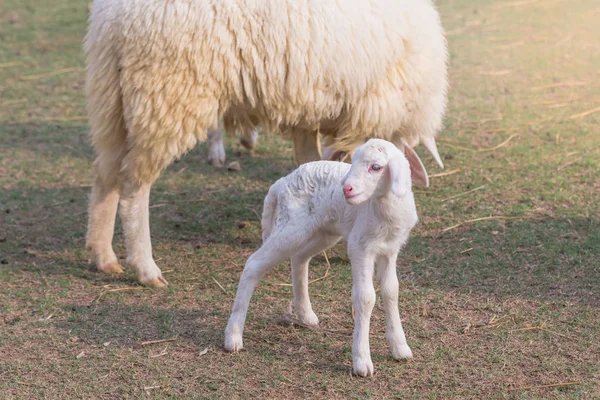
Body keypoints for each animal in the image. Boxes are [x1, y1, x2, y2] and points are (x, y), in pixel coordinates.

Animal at [83, 0, 446, 288]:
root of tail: (115, 17)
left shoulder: (308, 114)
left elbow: (308, 160)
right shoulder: (366, 107)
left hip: (111, 99)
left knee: (105, 174)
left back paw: (103, 255)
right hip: (167, 94)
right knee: (134, 185)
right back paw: (145, 268)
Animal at [224, 139, 426, 376]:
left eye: (376, 167)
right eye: (353, 160)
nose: (346, 188)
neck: (384, 208)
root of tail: (281, 183)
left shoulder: (390, 250)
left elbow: (391, 291)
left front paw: (400, 348)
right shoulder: (360, 247)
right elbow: (365, 297)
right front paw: (361, 361)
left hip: (322, 232)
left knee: (299, 258)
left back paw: (306, 314)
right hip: (291, 226)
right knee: (253, 264)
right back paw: (233, 337)